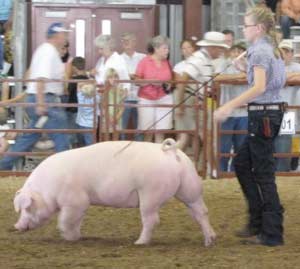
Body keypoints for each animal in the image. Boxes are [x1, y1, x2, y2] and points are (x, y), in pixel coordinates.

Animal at [13, 138, 216, 245]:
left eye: (26, 208)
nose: (17, 226)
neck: (47, 190)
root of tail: (171, 152)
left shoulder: (75, 201)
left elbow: (66, 220)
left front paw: (69, 238)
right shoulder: (79, 205)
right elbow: (76, 221)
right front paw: (78, 236)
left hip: (150, 194)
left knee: (152, 220)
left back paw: (139, 242)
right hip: (190, 188)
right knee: (202, 212)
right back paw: (210, 241)